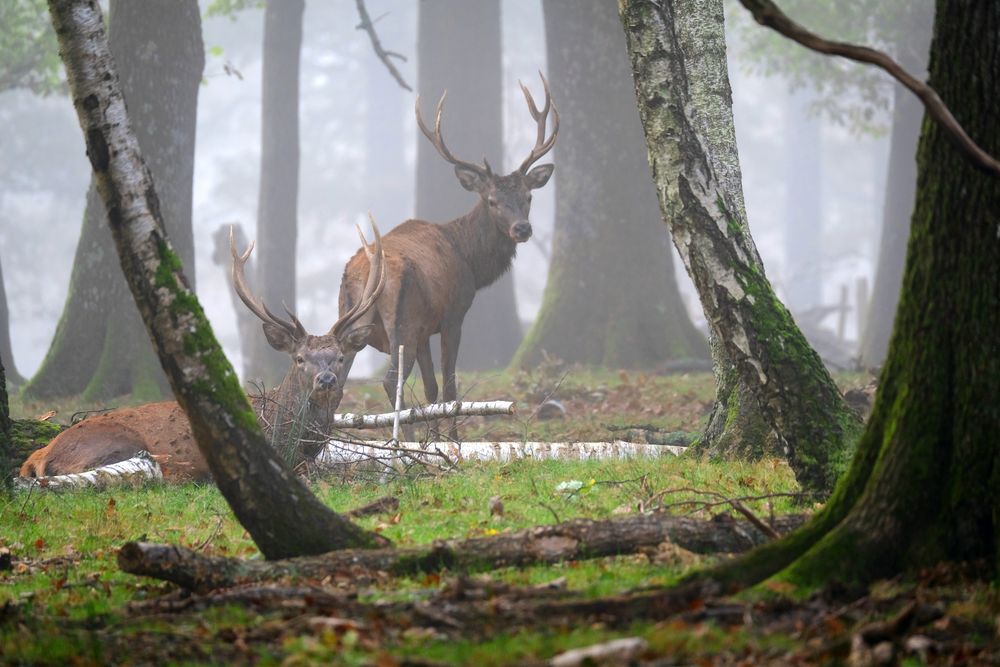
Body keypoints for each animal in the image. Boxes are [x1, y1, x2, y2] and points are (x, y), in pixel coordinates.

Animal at [338, 75, 560, 440]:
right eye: (491, 200)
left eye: (528, 196)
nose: (522, 228)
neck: (470, 261)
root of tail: (363, 274)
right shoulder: (453, 314)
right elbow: (449, 387)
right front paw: (451, 441)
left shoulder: (425, 328)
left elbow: (430, 389)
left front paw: (434, 441)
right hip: (401, 322)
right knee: (390, 379)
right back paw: (401, 443)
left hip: (349, 318)